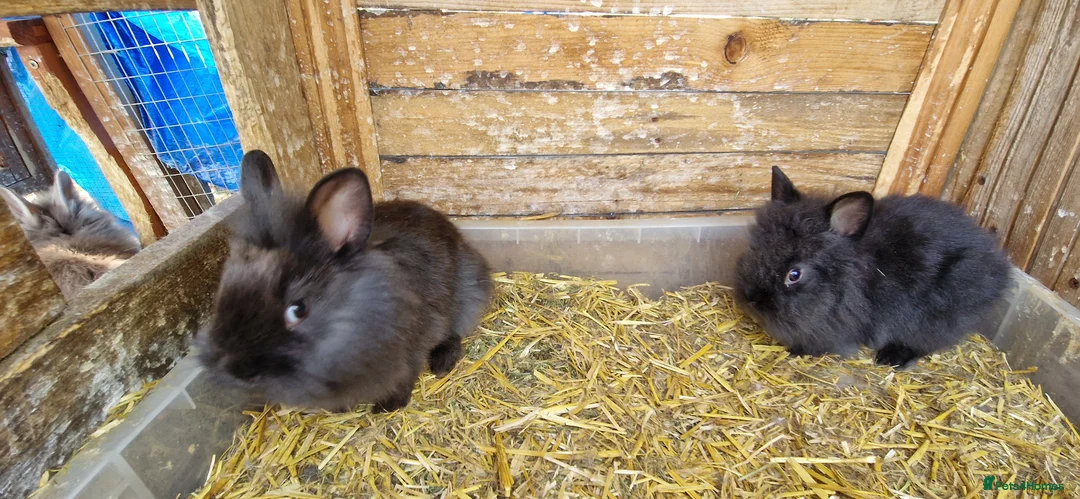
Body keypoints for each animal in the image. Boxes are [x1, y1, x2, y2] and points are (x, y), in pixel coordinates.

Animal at [195, 150, 493, 413]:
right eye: (222, 291)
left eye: (298, 310)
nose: (236, 370)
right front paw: (341, 409)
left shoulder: (411, 351)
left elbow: (404, 377)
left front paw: (389, 406)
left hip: (467, 298)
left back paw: (443, 363)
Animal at [734, 166, 1012, 368]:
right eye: (755, 248)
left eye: (794, 274)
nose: (751, 298)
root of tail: (999, 266)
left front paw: (797, 351)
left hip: (939, 315)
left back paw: (892, 358)